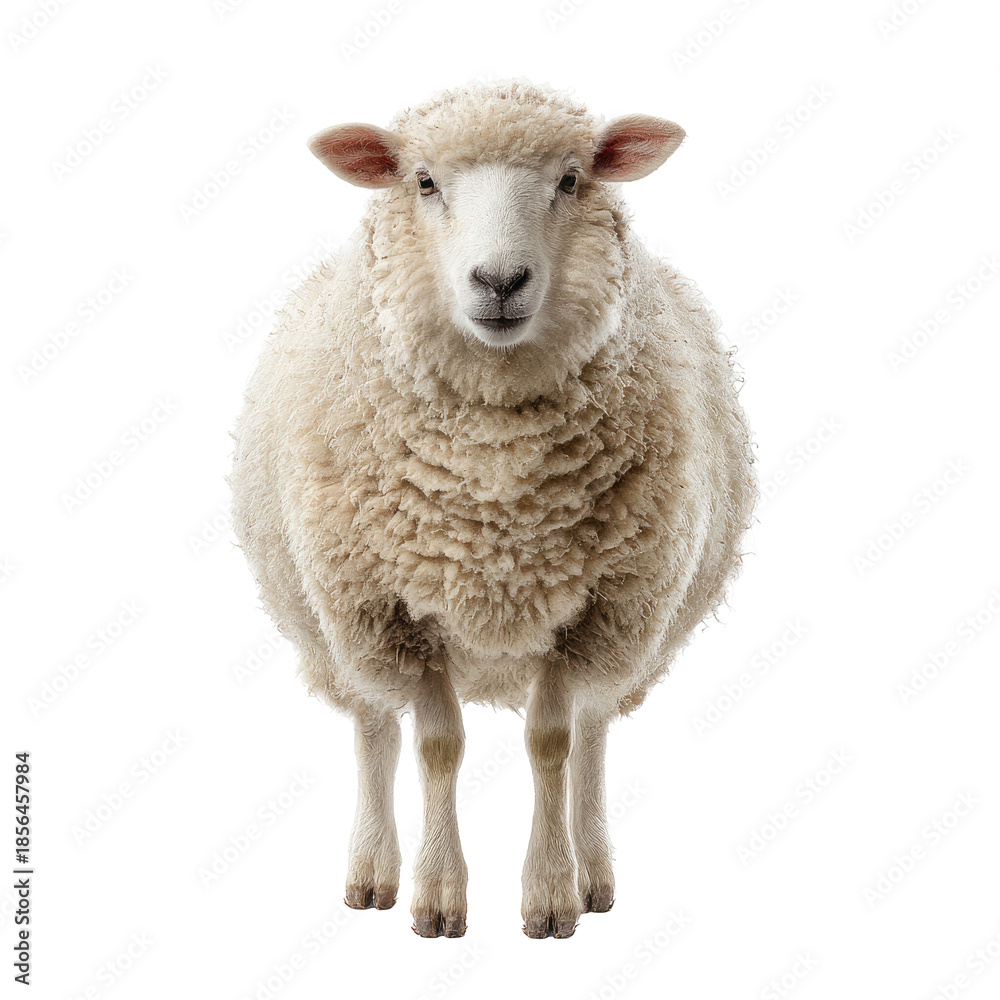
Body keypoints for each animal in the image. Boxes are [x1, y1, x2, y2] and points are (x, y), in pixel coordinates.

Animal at [229, 79, 756, 940]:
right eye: (424, 182)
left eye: (572, 179)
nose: (500, 281)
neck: (495, 491)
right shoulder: (394, 612)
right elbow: (436, 746)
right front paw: (439, 896)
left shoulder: (596, 612)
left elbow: (552, 742)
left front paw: (550, 894)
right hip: (333, 622)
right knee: (373, 726)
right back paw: (372, 873)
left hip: (629, 634)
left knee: (592, 733)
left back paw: (594, 873)